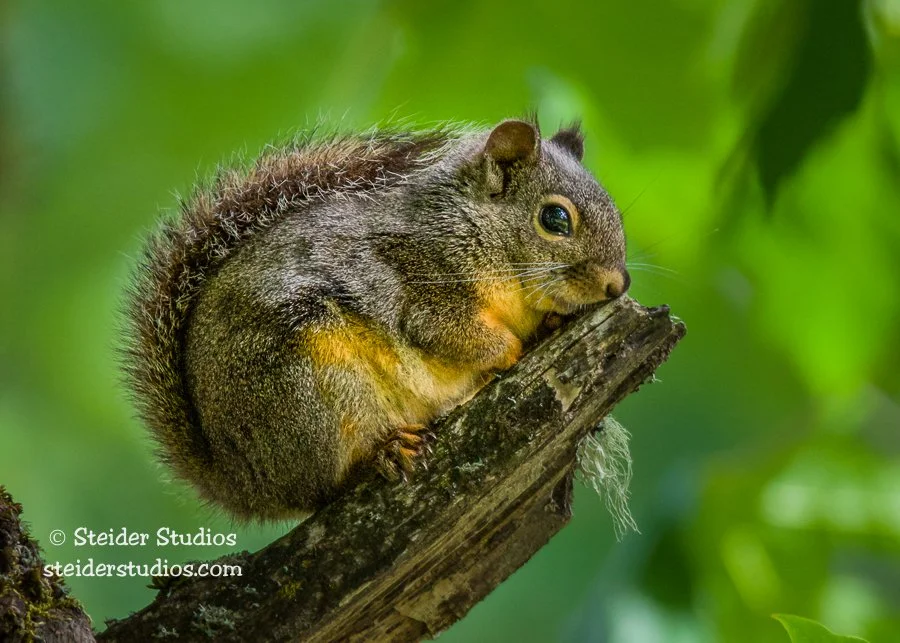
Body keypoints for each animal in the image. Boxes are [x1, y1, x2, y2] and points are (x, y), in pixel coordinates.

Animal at [124, 118, 630, 520]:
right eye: (555, 219)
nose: (618, 285)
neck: (473, 226)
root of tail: (243, 482)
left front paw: (549, 327)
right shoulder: (419, 285)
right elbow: (456, 335)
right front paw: (513, 349)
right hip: (308, 385)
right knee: (328, 485)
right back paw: (382, 453)